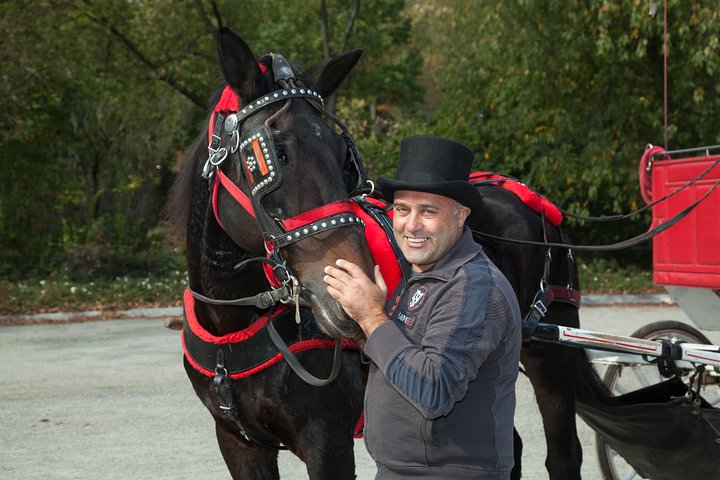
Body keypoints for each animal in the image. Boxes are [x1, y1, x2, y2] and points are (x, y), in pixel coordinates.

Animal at [167, 27, 586, 480]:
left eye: (342, 155)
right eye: (273, 154)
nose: (354, 295)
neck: (234, 324)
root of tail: (525, 196)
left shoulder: (327, 442)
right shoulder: (238, 443)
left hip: (551, 357)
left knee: (563, 454)